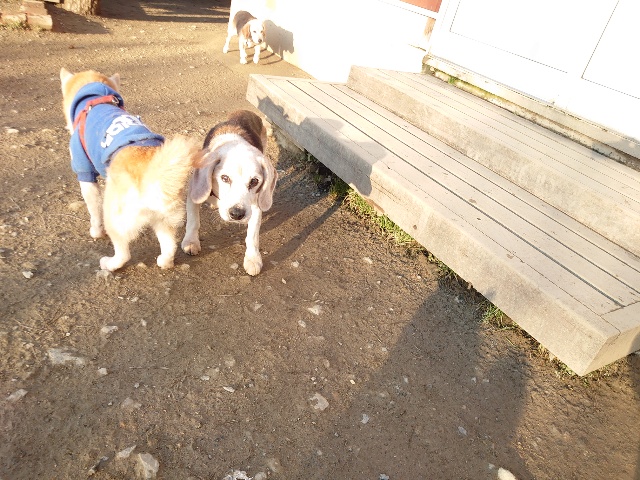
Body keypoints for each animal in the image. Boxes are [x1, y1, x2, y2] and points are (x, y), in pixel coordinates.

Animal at [60, 67, 201, 271]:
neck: (95, 98)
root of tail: (150, 174)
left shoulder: (85, 174)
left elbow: (93, 210)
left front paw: (96, 231)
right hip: (164, 219)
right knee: (169, 249)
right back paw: (163, 261)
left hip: (115, 217)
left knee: (123, 253)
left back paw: (109, 263)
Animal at [181, 110, 277, 276]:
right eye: (224, 178)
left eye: (254, 181)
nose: (237, 214)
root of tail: (245, 111)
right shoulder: (194, 193)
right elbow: (193, 221)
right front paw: (191, 242)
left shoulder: (255, 206)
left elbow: (252, 235)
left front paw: (253, 259)